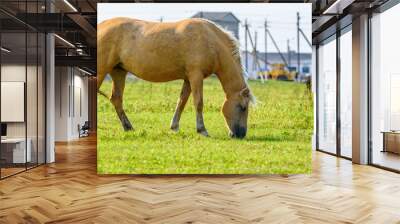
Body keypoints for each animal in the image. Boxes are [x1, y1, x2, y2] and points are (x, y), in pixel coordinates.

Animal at [97, 17, 255, 138]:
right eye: (243, 107)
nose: (241, 135)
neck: (210, 41)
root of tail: (101, 26)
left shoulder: (188, 79)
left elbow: (181, 102)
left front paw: (174, 126)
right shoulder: (196, 75)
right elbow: (198, 103)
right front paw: (202, 130)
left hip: (118, 72)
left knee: (116, 99)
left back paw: (128, 127)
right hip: (102, 72)